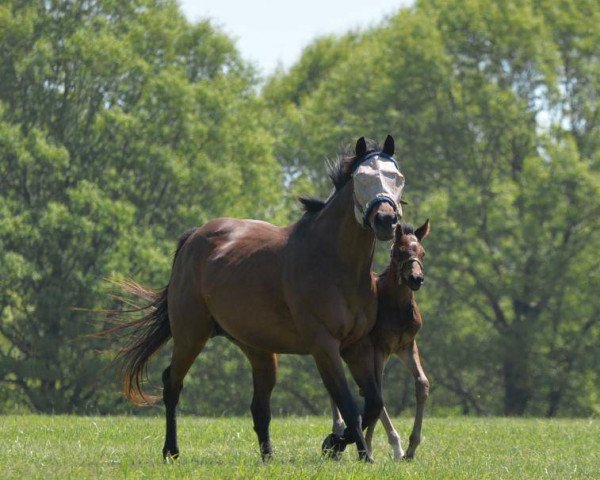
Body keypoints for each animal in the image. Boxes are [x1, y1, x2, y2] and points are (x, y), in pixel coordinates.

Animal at [110, 135, 406, 462]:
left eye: (398, 177)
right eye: (360, 178)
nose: (386, 220)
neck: (335, 263)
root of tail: (194, 237)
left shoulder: (357, 346)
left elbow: (374, 404)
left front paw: (335, 443)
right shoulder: (324, 346)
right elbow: (350, 407)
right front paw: (357, 453)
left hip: (258, 350)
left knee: (259, 409)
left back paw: (268, 458)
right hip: (191, 335)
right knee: (172, 383)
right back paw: (171, 451)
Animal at [328, 219, 432, 460]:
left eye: (422, 253)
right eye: (398, 251)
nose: (416, 279)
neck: (397, 307)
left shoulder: (406, 346)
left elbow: (421, 384)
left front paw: (411, 448)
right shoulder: (378, 348)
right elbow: (378, 390)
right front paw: (386, 446)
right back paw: (339, 429)